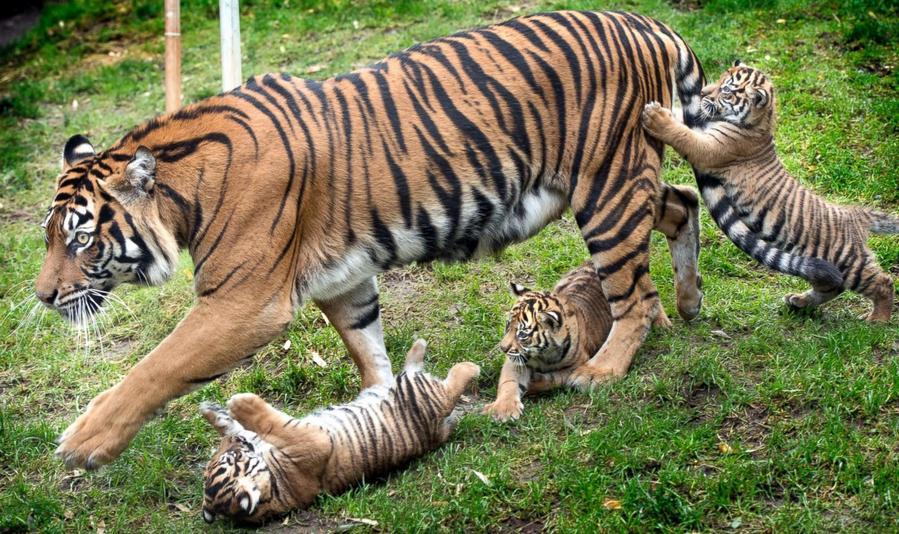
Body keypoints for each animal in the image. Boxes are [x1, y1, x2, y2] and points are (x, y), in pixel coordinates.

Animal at [38, 10, 708, 472]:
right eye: (49, 237)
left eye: (79, 238)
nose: (43, 297)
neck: (183, 197)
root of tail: (648, 23)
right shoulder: (344, 279)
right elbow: (369, 350)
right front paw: (385, 411)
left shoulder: (243, 302)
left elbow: (157, 368)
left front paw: (82, 442)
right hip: (625, 183)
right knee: (682, 204)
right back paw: (688, 304)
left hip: (605, 189)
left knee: (632, 295)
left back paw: (604, 370)